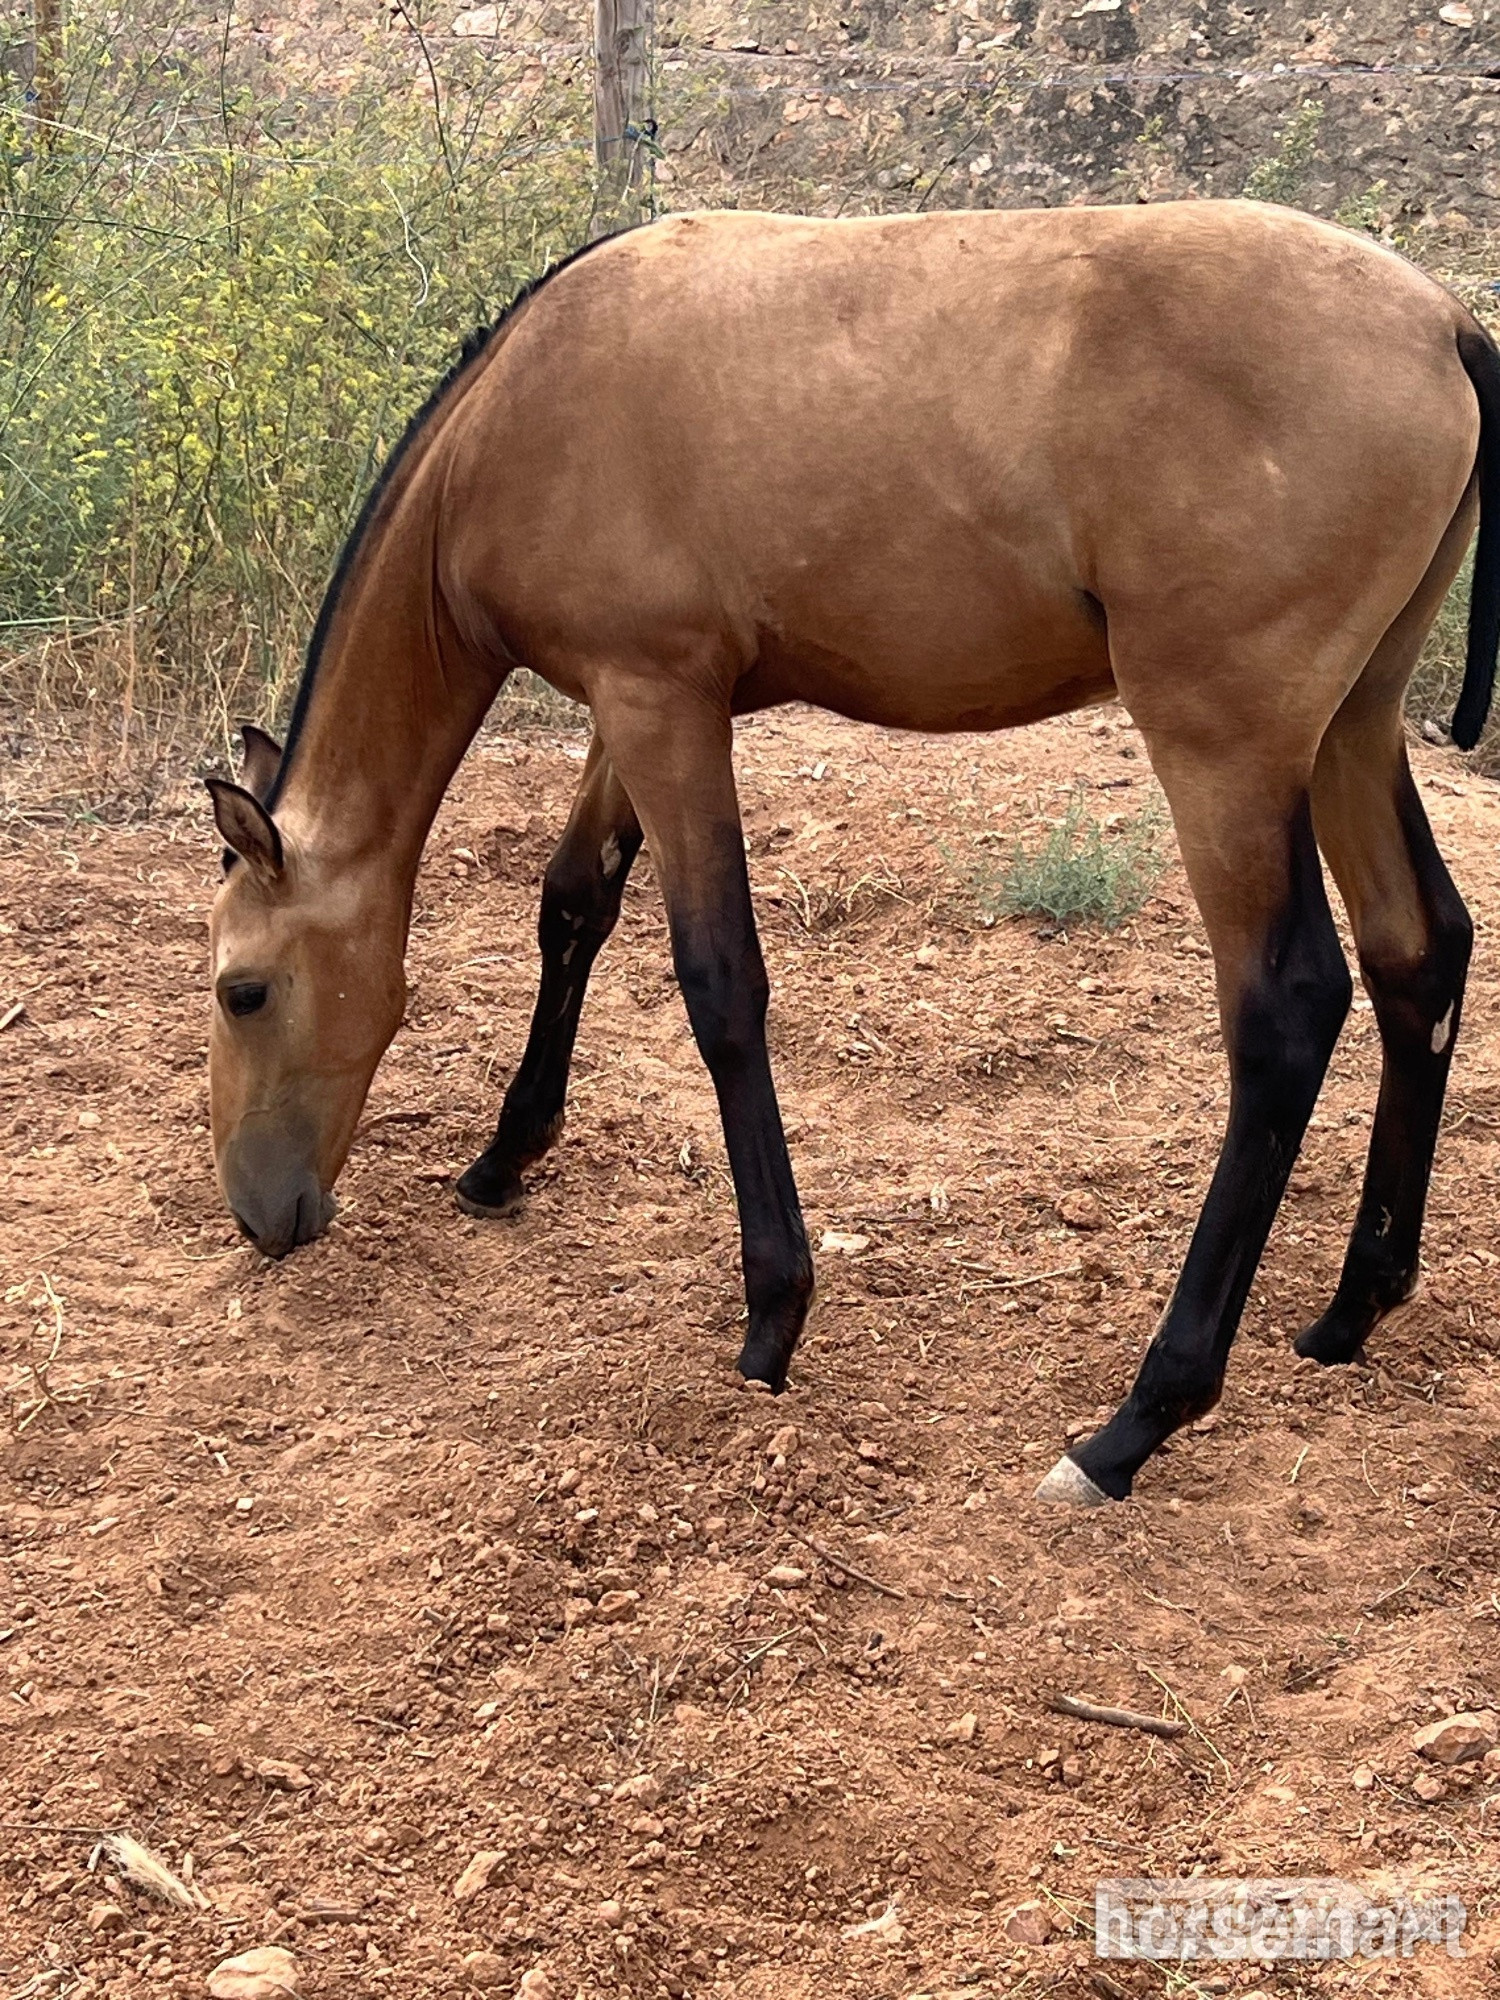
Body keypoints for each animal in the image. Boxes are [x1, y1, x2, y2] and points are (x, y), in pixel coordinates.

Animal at [204, 201, 1500, 1507]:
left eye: (242, 990)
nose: (261, 1217)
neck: (517, 416)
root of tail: (1443, 318)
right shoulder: (636, 711)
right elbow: (572, 904)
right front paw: (502, 1158)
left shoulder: (661, 704)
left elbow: (721, 986)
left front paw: (773, 1315)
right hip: (1353, 725)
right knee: (1419, 953)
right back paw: (1353, 1308)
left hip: (1227, 752)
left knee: (1289, 1012)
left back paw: (1136, 1420)